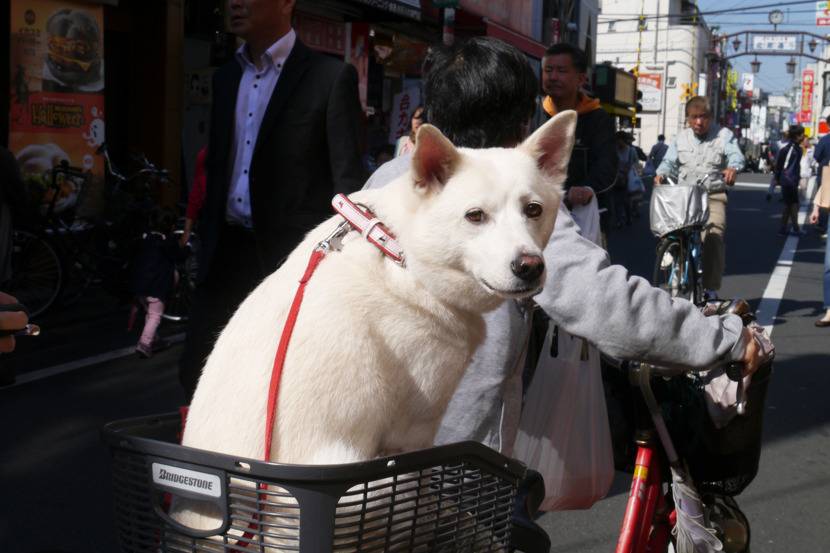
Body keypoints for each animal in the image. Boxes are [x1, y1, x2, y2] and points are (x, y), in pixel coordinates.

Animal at [174, 110, 580, 540]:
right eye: (475, 216)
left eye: (533, 210)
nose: (530, 266)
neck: (397, 249)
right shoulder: (414, 431)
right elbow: (423, 481)